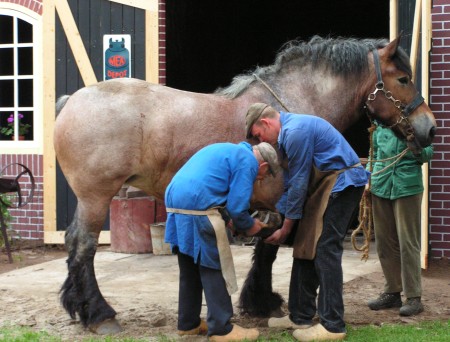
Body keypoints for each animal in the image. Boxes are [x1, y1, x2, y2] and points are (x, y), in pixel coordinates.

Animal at [53, 35, 436, 334]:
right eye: (403, 78)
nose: (430, 128)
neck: (290, 107)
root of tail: (72, 101)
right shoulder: (280, 199)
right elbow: (268, 249)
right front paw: (263, 302)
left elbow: (265, 246)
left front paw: (258, 301)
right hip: (95, 197)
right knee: (84, 246)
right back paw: (100, 314)